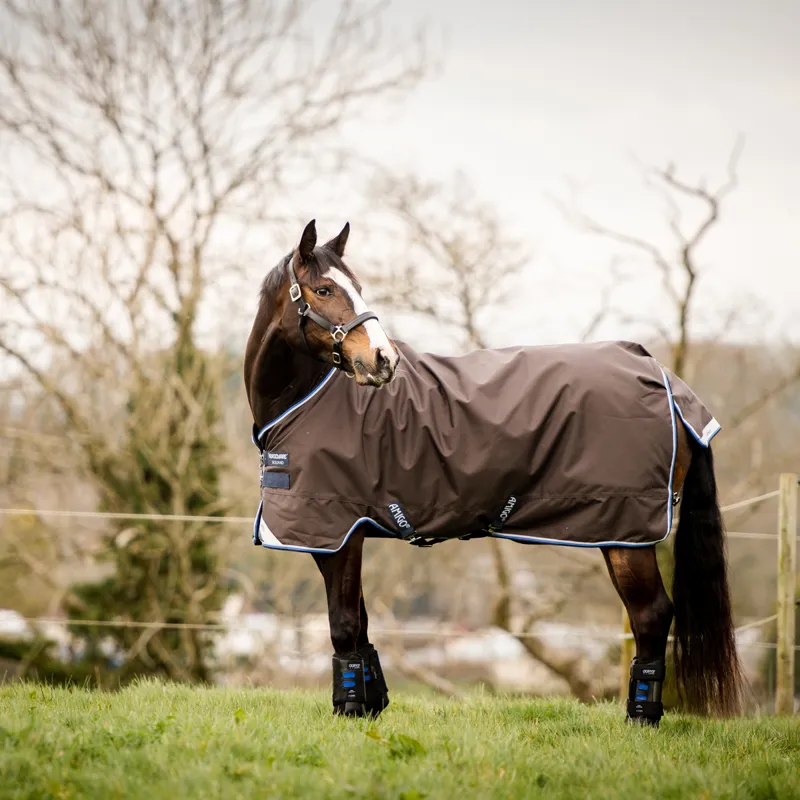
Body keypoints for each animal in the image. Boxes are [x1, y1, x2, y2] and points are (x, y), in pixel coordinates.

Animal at [244, 220, 742, 726]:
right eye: (324, 289)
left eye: (356, 288)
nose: (384, 359)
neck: (306, 403)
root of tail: (662, 376)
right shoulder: (347, 534)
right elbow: (361, 626)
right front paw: (370, 707)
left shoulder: (335, 534)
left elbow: (344, 626)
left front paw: (349, 712)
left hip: (627, 531)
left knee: (651, 614)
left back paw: (641, 719)